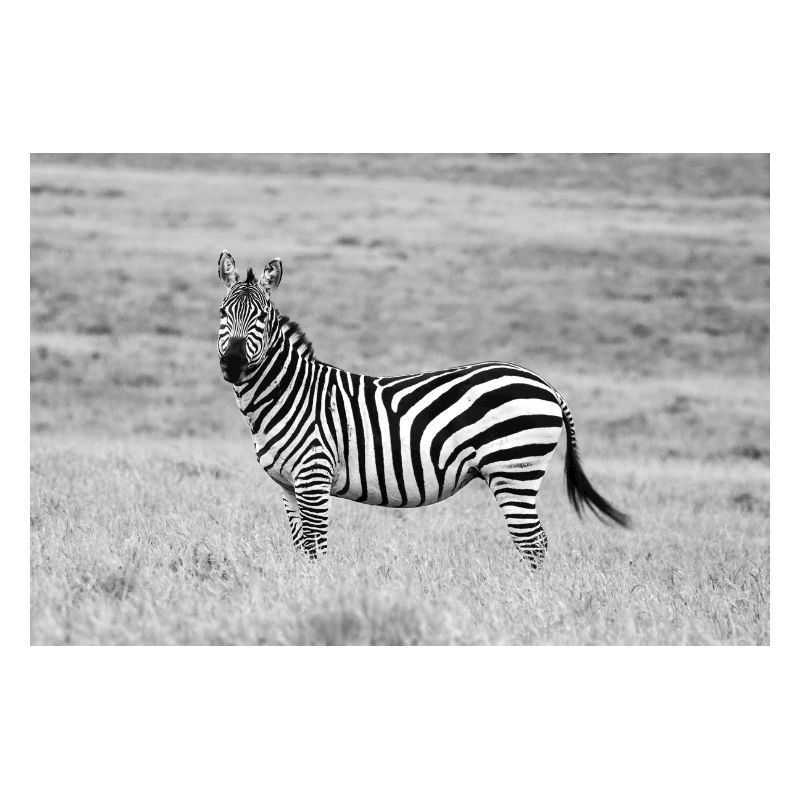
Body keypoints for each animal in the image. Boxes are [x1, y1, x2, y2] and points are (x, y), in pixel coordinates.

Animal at [217, 250, 629, 567]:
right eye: (223, 313)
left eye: (262, 318)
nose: (232, 364)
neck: (289, 394)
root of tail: (545, 383)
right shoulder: (287, 486)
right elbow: (301, 546)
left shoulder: (314, 476)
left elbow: (317, 546)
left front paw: (318, 589)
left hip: (514, 470)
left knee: (533, 542)